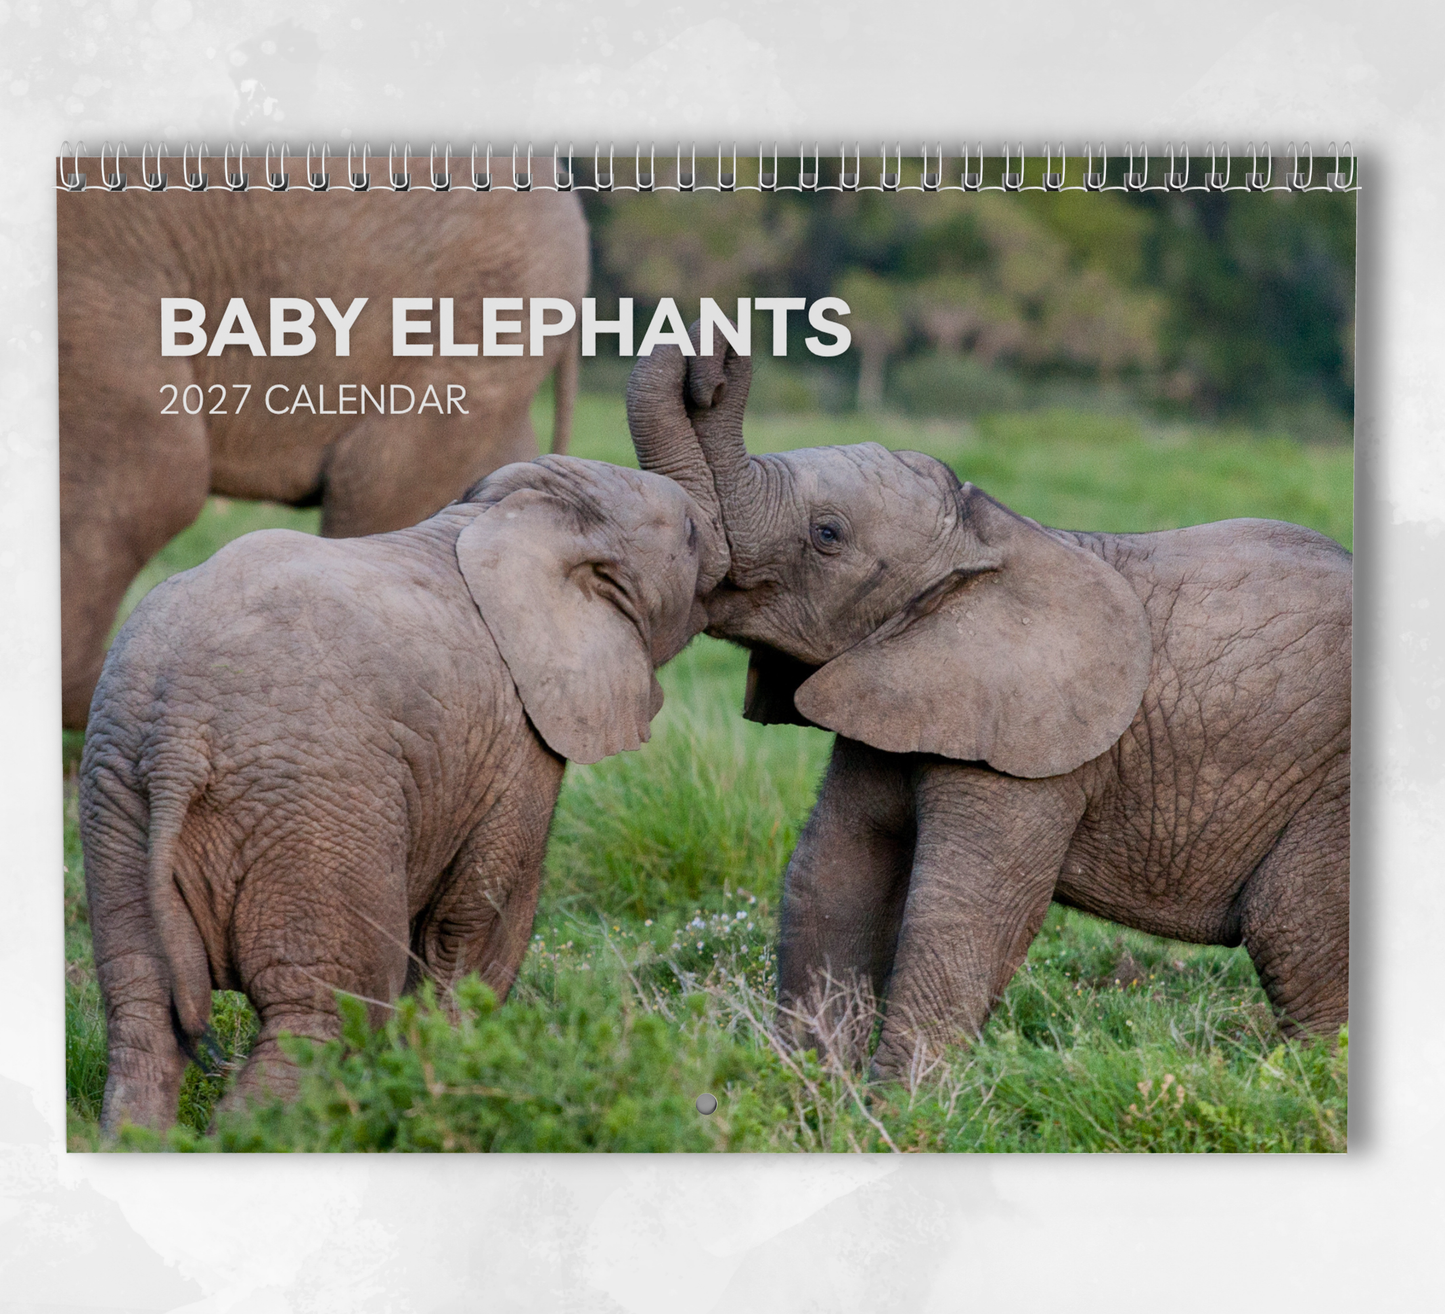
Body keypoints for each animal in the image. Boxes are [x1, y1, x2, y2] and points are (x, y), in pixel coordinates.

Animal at [79, 455, 727, 1132]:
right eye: (690, 536)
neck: (501, 513)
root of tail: (176, 737)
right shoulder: (515, 741)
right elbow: (478, 923)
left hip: (116, 805)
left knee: (143, 1018)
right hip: (318, 809)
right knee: (326, 1015)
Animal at [626, 336, 1351, 1079]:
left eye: (827, 534)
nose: (712, 360)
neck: (988, 536)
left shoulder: (1031, 751)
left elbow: (964, 913)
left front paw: (900, 1102)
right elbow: (832, 874)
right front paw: (805, 1088)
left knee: (1297, 940)